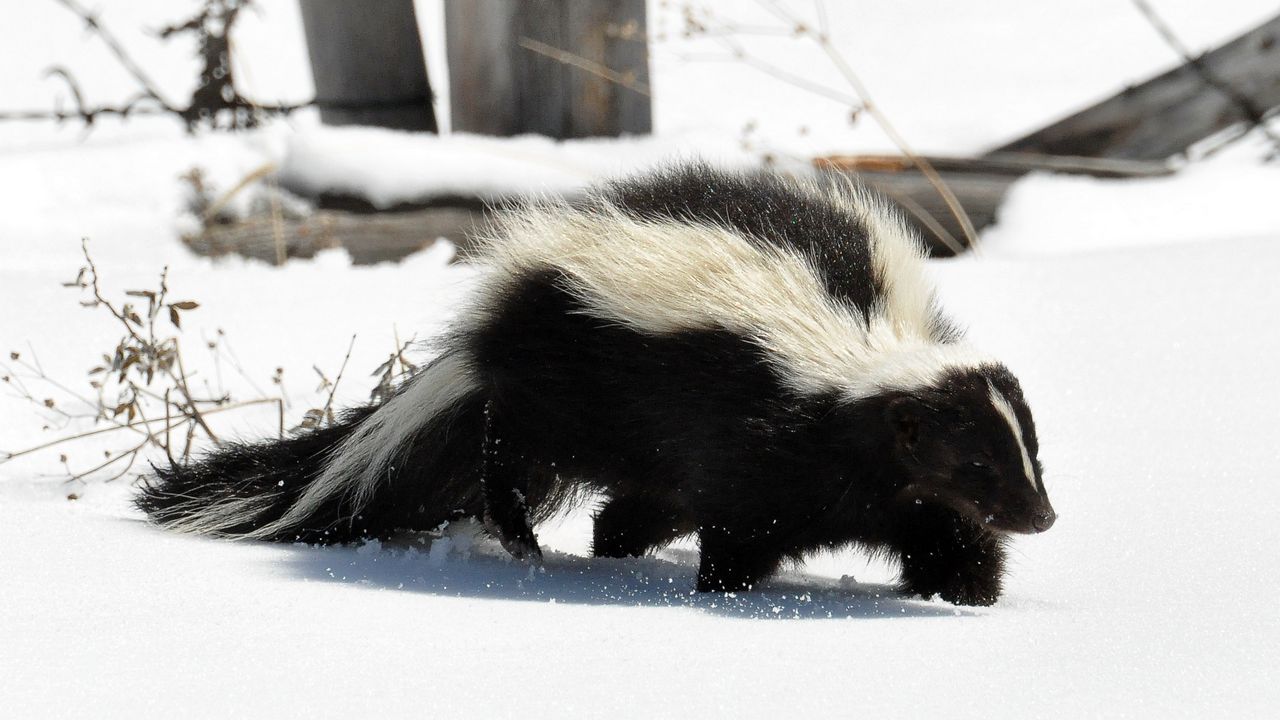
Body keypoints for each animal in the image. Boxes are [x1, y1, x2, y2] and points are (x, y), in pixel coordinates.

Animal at [142, 163, 1059, 604]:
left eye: (1031, 455)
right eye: (977, 462)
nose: (1043, 517)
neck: (860, 356)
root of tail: (491, 321)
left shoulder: (891, 482)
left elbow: (941, 527)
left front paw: (967, 594)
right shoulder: (761, 433)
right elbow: (745, 524)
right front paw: (724, 591)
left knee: (632, 505)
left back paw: (610, 546)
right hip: (563, 385)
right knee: (509, 450)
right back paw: (524, 538)